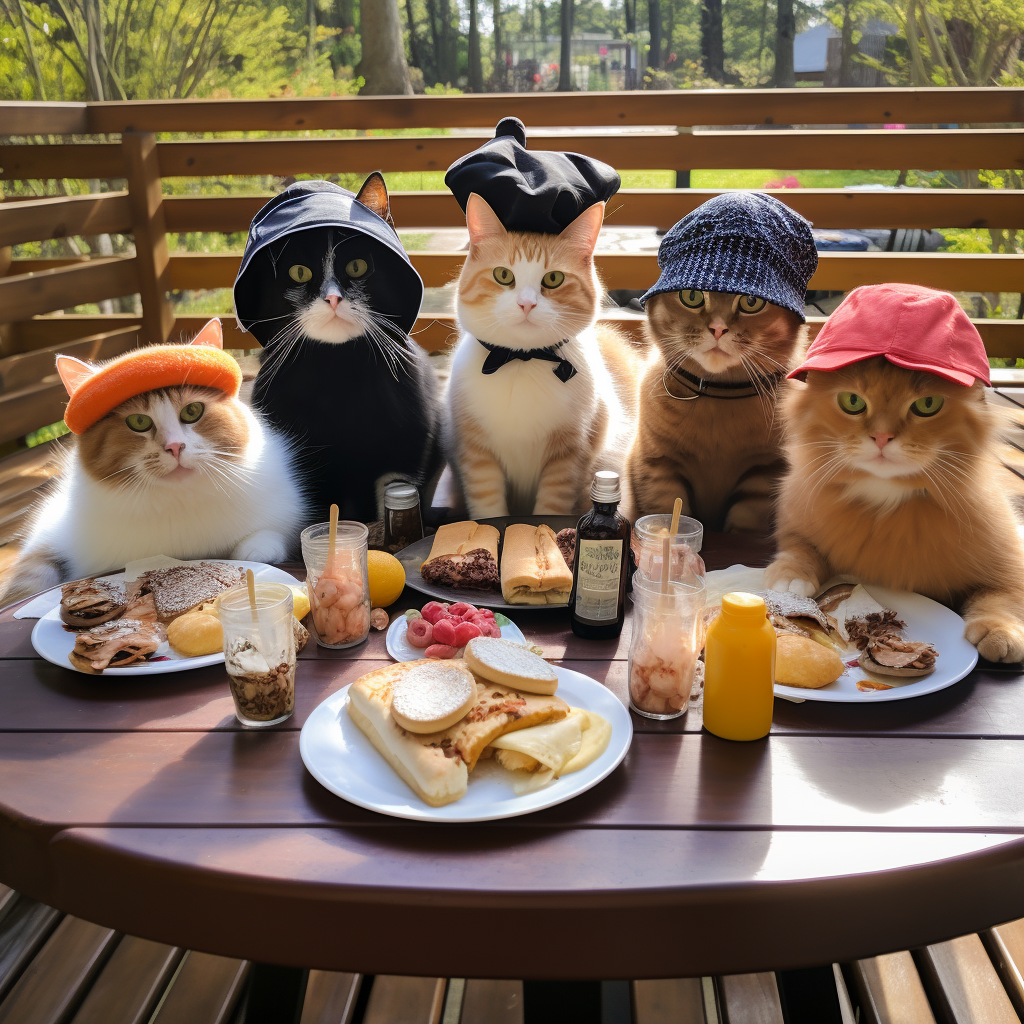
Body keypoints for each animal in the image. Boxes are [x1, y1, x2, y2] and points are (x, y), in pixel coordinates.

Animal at [4, 319, 307, 602]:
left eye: (192, 411)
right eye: (138, 422)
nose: (174, 447)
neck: (180, 501)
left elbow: (267, 535)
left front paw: (256, 551)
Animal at [622, 288, 806, 528]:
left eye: (751, 302)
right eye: (691, 296)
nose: (718, 329)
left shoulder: (764, 473)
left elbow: (742, 524)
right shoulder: (659, 468)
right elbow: (667, 514)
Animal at [770, 282, 1024, 663]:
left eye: (927, 405)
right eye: (853, 402)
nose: (882, 437)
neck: (885, 501)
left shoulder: (1011, 557)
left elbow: (1003, 595)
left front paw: (1000, 633)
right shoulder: (797, 523)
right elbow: (798, 549)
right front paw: (789, 579)